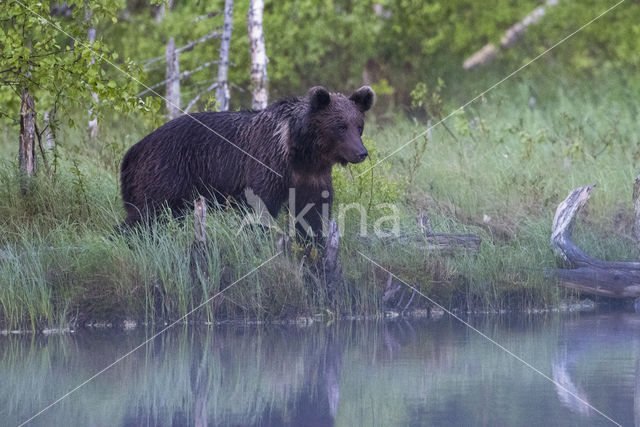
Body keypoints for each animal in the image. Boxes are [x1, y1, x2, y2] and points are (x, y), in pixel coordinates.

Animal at [120, 85, 376, 242]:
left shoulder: (312, 175)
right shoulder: (268, 163)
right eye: (340, 126)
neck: (301, 151)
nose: (361, 152)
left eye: (359, 126)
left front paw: (314, 238)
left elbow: (314, 211)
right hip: (166, 172)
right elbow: (260, 207)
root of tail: (133, 150)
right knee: (146, 214)